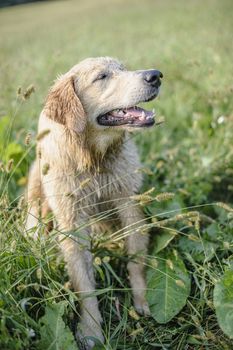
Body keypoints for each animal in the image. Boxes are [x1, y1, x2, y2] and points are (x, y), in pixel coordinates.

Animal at [25, 56, 162, 348]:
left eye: (124, 69)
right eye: (102, 77)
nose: (156, 75)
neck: (91, 156)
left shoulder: (129, 203)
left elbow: (135, 260)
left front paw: (143, 300)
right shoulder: (72, 223)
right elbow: (84, 285)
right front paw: (90, 330)